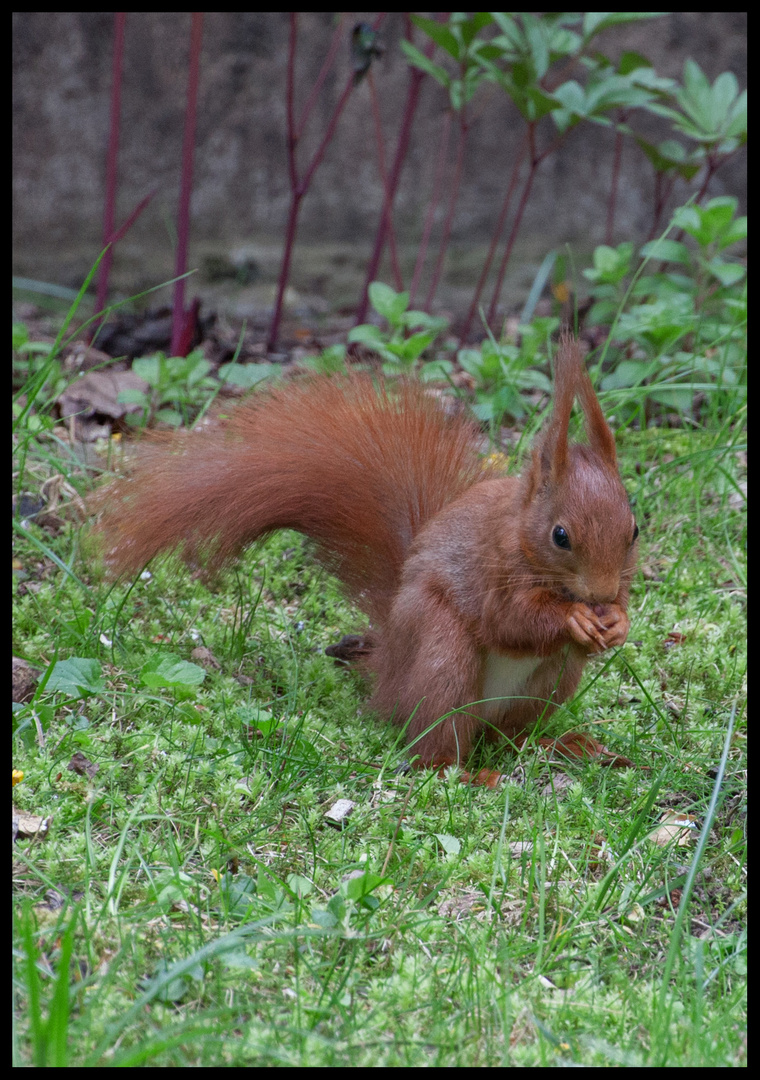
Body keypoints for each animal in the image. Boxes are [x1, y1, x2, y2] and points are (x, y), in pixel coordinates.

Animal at [98, 332, 639, 773]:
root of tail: (389, 676)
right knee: (437, 740)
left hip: (548, 683)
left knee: (509, 735)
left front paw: (617, 622)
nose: (601, 593)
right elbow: (508, 619)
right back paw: (465, 770)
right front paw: (574, 618)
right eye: (560, 536)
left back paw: (562, 745)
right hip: (441, 651)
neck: (523, 535)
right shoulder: (493, 565)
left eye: (634, 529)